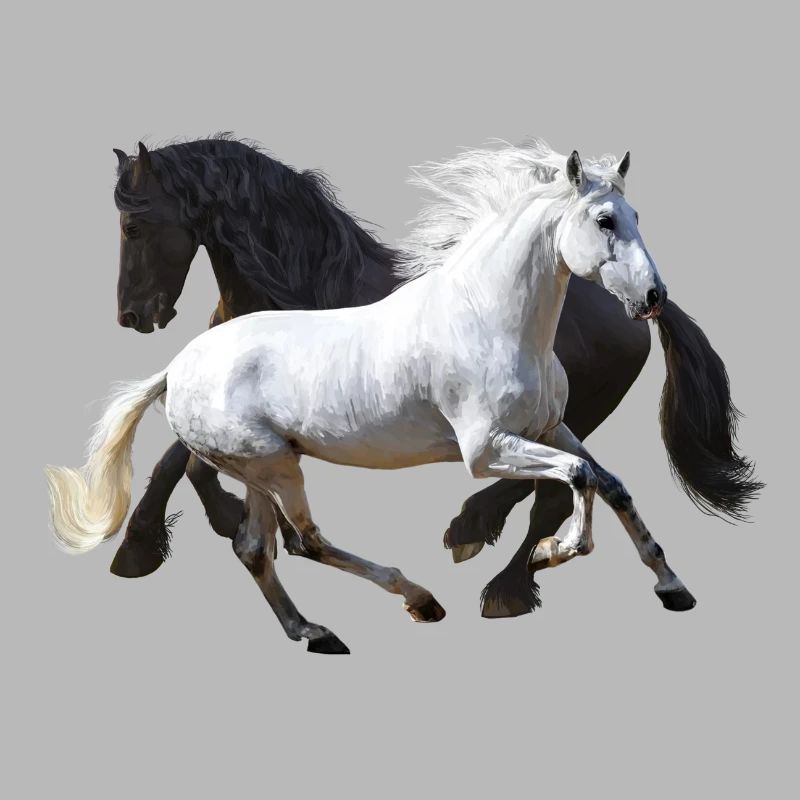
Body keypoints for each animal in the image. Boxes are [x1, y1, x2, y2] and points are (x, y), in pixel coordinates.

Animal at [47, 142, 743, 653]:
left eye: (636, 218)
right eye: (604, 220)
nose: (651, 297)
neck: (490, 316)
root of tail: (175, 367)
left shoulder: (551, 429)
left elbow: (611, 483)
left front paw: (673, 586)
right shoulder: (485, 450)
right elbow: (578, 479)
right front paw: (557, 554)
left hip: (262, 467)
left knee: (257, 546)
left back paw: (318, 629)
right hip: (272, 464)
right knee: (301, 541)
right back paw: (423, 599)